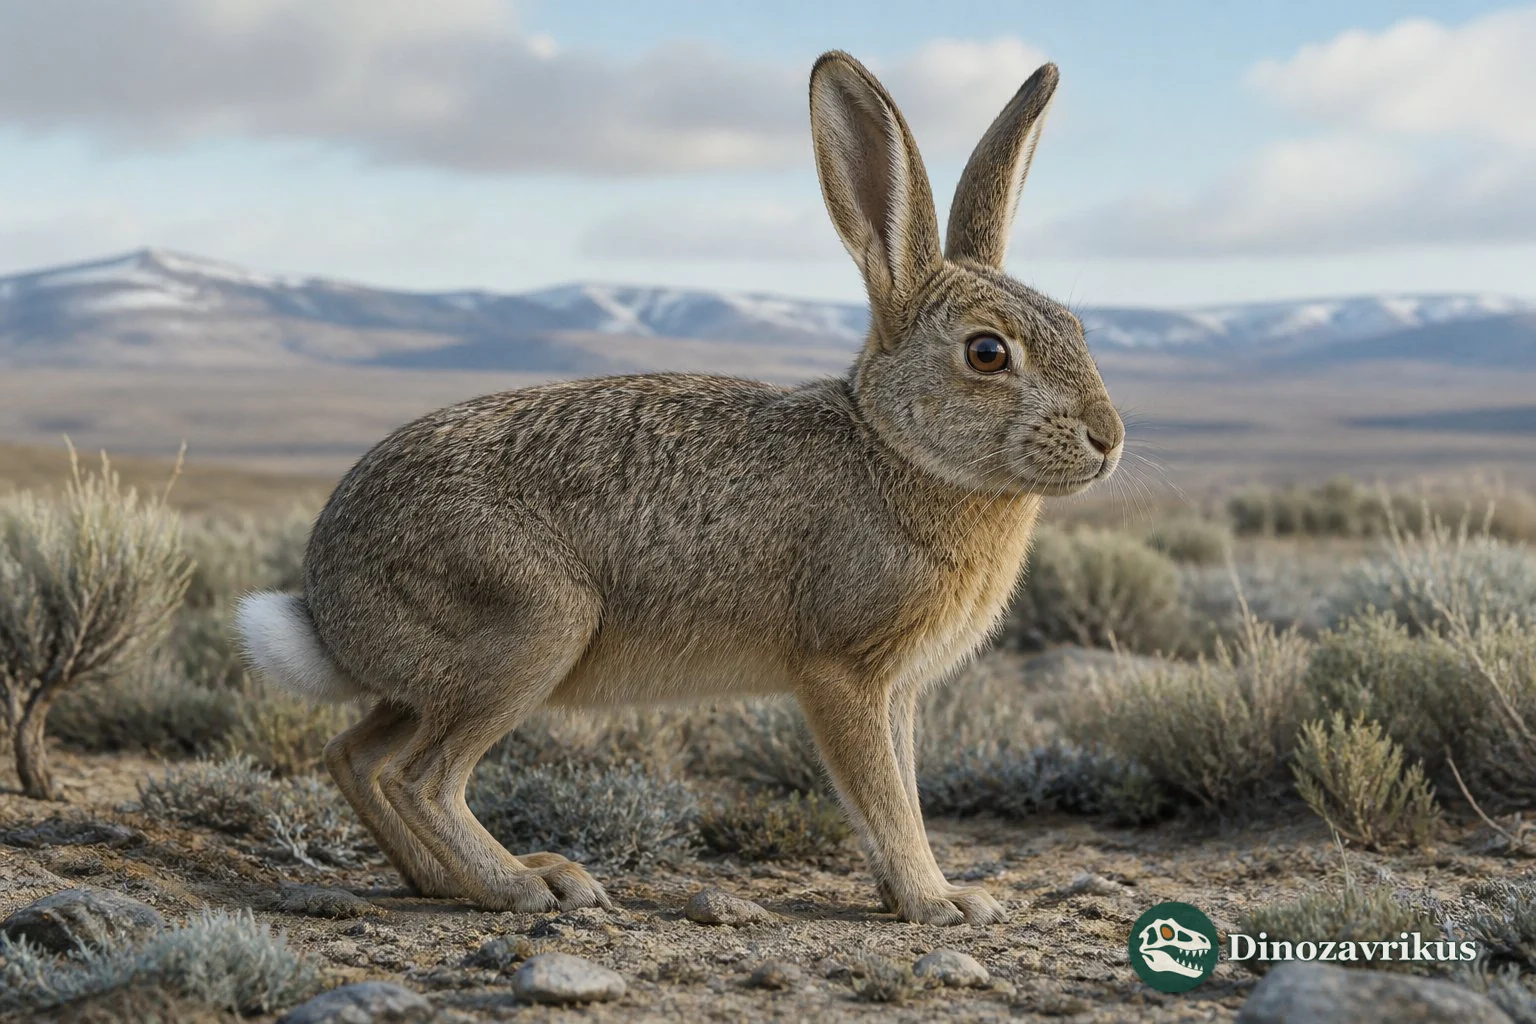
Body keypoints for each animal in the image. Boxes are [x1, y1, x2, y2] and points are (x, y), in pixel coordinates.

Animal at [233, 50, 1123, 926]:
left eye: (1078, 331)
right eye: (986, 353)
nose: (1108, 440)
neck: (896, 446)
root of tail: (328, 602)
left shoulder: (897, 689)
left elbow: (897, 788)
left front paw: (926, 893)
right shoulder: (845, 672)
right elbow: (884, 798)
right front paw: (939, 901)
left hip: (436, 678)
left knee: (357, 756)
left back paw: (451, 880)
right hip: (531, 629)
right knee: (422, 778)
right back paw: (522, 886)